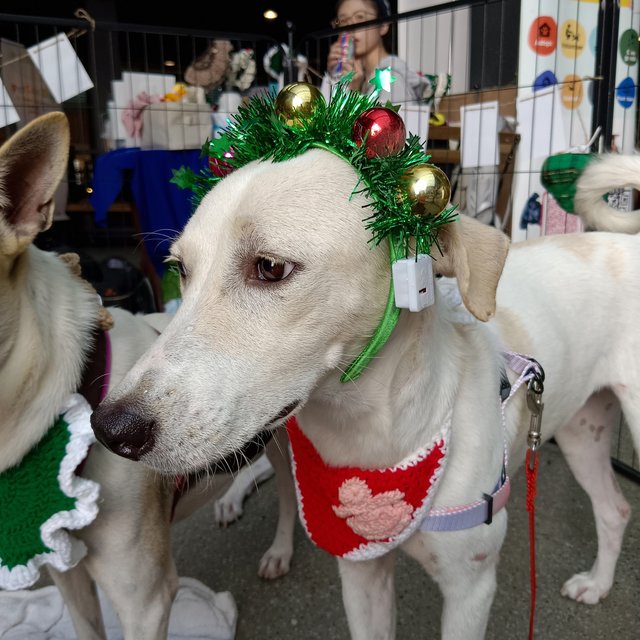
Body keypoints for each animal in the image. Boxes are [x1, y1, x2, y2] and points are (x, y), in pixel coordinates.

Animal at [90, 95, 640, 640]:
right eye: (181, 270)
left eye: (270, 267)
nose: (111, 430)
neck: (374, 439)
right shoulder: (360, 571)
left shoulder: (471, 589)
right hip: (582, 430)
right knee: (615, 509)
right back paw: (597, 583)